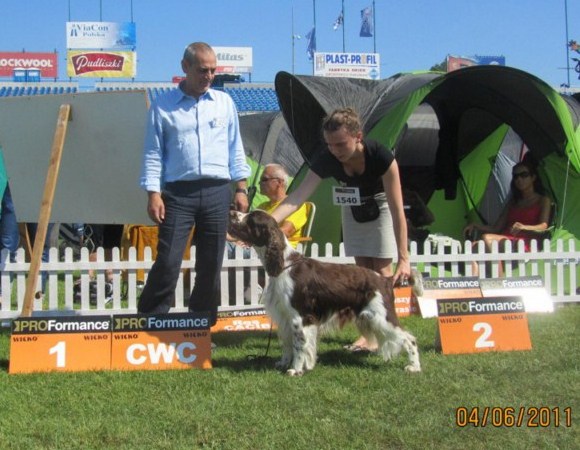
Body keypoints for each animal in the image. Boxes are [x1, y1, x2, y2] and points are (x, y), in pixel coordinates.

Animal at [228, 209, 421, 376]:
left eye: (251, 219)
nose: (232, 212)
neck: (284, 265)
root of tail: (386, 280)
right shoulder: (284, 317)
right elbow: (287, 345)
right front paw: (283, 364)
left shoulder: (300, 318)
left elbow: (299, 346)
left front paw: (295, 370)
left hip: (381, 317)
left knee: (410, 339)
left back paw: (414, 367)